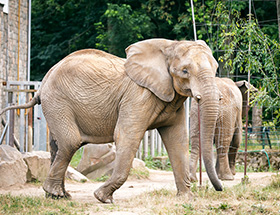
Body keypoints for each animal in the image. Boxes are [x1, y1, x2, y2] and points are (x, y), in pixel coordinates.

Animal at [0, 37, 223, 202]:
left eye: (215, 69)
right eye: (185, 71)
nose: (219, 189)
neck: (169, 46)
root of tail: (43, 82)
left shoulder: (172, 98)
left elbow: (177, 140)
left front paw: (186, 199)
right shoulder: (138, 96)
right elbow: (127, 136)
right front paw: (102, 198)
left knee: (58, 145)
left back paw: (59, 196)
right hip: (57, 102)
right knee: (70, 142)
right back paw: (56, 194)